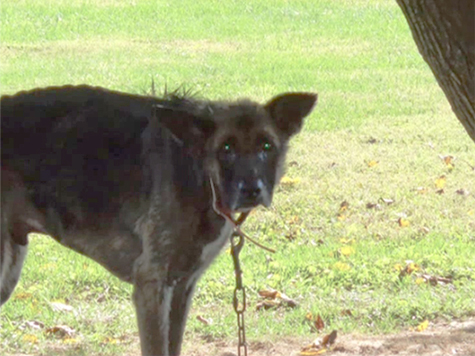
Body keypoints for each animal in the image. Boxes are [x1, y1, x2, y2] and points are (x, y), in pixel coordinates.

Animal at [0, 85, 320, 354]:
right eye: (226, 149)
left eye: (267, 147)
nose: (252, 190)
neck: (200, 174)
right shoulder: (151, 287)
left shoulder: (181, 289)